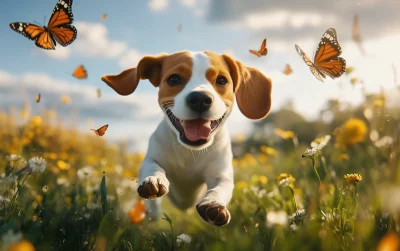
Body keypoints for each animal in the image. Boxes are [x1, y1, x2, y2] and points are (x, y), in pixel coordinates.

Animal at [101, 50, 274, 226]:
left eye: (221, 80)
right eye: (174, 79)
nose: (200, 99)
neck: (190, 152)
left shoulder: (221, 174)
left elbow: (220, 188)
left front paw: (214, 203)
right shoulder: (151, 158)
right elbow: (153, 167)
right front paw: (154, 180)